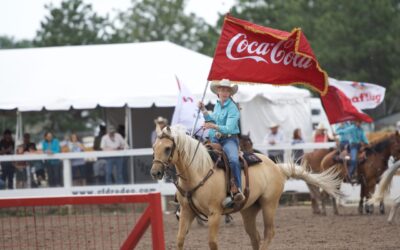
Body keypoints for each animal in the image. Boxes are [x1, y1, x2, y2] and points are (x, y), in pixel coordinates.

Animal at [150, 126, 340, 249]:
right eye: (153, 147)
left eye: (168, 148)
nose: (155, 172)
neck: (198, 171)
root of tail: (277, 167)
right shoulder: (186, 211)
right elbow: (180, 240)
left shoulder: (214, 213)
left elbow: (212, 243)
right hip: (248, 210)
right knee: (255, 236)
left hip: (269, 205)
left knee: (268, 233)